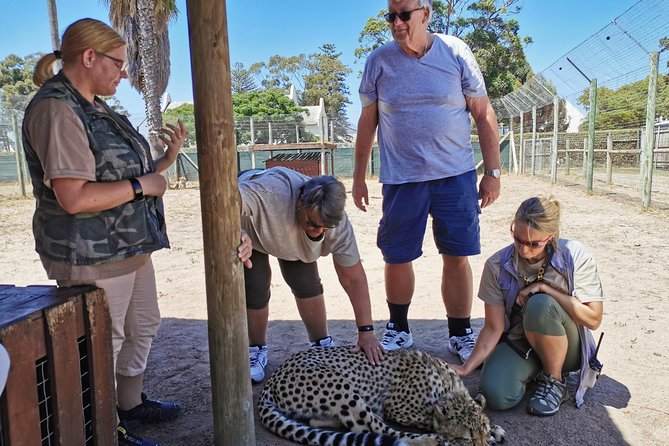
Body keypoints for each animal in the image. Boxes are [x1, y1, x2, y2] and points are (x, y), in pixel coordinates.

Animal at [258, 346, 506, 446]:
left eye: (481, 434)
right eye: (466, 438)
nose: (484, 443)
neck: (448, 390)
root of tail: (275, 375)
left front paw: (494, 430)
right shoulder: (395, 408)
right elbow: (429, 420)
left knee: (317, 421)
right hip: (341, 386)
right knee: (374, 429)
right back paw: (430, 440)